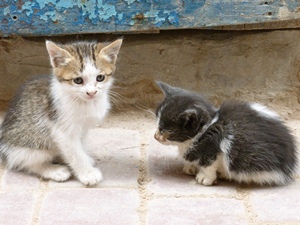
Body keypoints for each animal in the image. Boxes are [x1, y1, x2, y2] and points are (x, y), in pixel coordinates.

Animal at [0, 39, 123, 186]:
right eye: (78, 80)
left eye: (100, 77)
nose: (91, 92)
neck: (84, 102)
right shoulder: (62, 130)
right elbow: (74, 153)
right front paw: (87, 173)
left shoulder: (84, 128)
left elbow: (79, 146)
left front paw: (85, 159)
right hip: (32, 144)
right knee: (24, 161)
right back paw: (54, 170)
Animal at [155, 81, 298, 185]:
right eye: (157, 121)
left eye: (166, 131)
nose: (155, 136)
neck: (207, 127)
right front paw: (191, 167)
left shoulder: (212, 148)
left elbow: (208, 164)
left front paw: (205, 178)